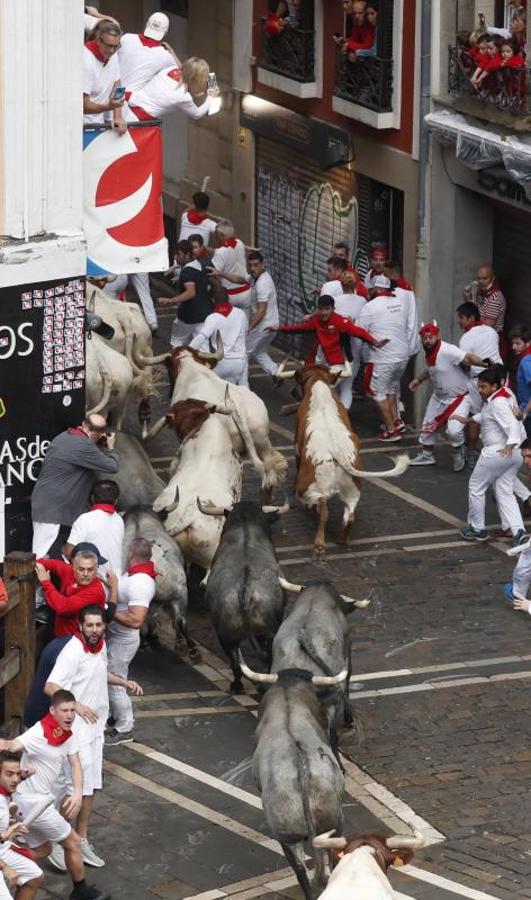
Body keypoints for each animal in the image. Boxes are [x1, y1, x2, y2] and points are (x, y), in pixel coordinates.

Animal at [200, 502, 288, 692]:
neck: (245, 526)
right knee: (265, 657)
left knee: (236, 662)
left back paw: (238, 685)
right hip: (265, 631)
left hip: (226, 634)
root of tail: (245, 592)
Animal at [276, 366, 410, 556]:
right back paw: (341, 539)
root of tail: (337, 452)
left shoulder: (297, 447)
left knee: (322, 508)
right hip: (352, 492)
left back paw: (319, 544)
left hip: (306, 489)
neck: (319, 385)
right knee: (349, 516)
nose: (293, 392)